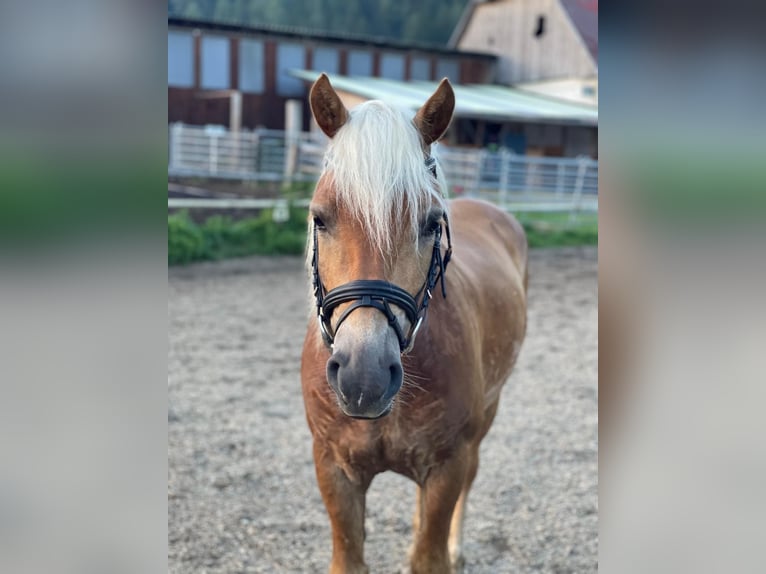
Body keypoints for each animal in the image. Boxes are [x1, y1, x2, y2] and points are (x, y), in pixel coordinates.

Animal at [300, 73, 528, 574]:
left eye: (430, 223)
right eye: (320, 218)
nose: (363, 376)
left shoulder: (447, 465)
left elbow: (431, 552)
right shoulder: (334, 469)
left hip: (487, 415)